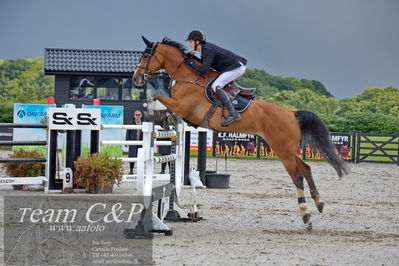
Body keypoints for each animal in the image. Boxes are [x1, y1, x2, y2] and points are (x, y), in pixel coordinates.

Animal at [133, 36, 348, 224]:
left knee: (297, 176)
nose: (136, 79)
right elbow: (161, 103)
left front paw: (156, 114)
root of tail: (291, 113)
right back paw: (319, 203)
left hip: (282, 150)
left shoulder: (182, 106)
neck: (187, 77)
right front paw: (165, 119)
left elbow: (156, 98)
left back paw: (305, 214)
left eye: (146, 55)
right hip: (285, 148)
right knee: (306, 168)